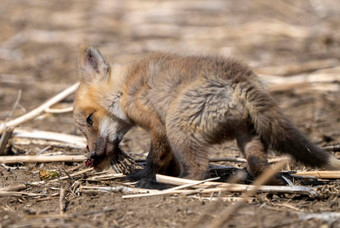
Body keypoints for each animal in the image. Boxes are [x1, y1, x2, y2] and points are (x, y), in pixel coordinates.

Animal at [73, 46, 340, 187]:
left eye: (89, 120)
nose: (92, 155)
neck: (126, 87)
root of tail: (240, 79)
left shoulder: (158, 125)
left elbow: (154, 160)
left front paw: (147, 179)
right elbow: (168, 162)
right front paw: (163, 175)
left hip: (178, 128)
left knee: (199, 170)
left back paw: (176, 185)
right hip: (247, 135)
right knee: (258, 163)